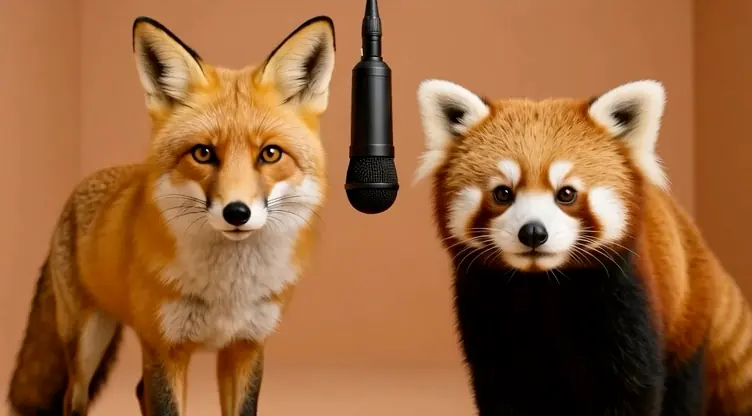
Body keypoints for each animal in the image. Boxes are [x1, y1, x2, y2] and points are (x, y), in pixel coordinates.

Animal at [7, 15, 335, 416]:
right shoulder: (165, 347)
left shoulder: (245, 347)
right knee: (75, 398)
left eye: (270, 154)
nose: (237, 213)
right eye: (203, 153)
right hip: (89, 342)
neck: (228, 292)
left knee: (135, 389)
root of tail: (80, 186)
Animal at [413, 78, 752, 415]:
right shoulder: (486, 306)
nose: (533, 232)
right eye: (502, 193)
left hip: (686, 324)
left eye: (566, 193)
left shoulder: (626, 301)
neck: (541, 285)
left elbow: (632, 389)